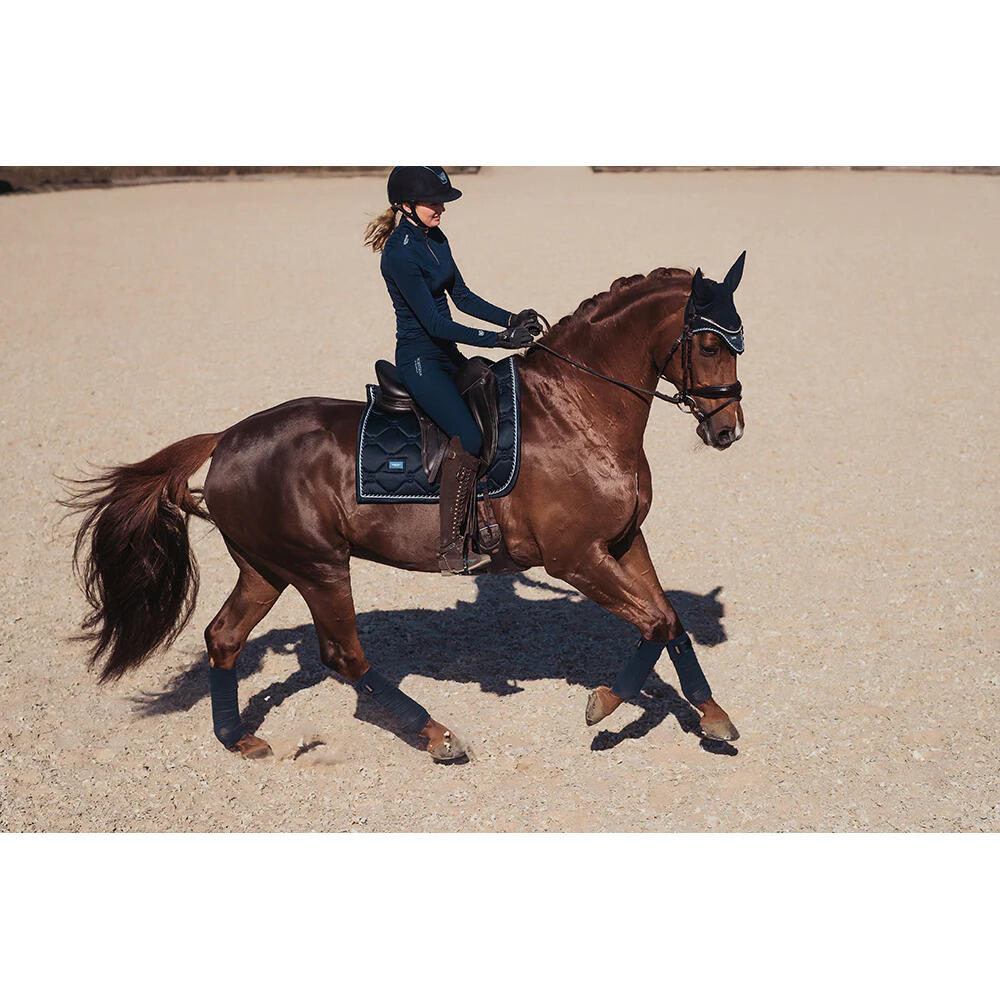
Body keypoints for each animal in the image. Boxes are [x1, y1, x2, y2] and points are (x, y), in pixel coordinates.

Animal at [64, 253, 748, 762]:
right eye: (711, 346)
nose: (728, 431)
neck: (578, 408)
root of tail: (227, 438)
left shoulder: (625, 541)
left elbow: (668, 621)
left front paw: (712, 715)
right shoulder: (575, 558)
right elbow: (652, 623)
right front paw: (604, 704)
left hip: (267, 568)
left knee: (223, 636)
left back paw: (238, 738)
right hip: (318, 568)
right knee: (343, 655)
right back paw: (436, 734)